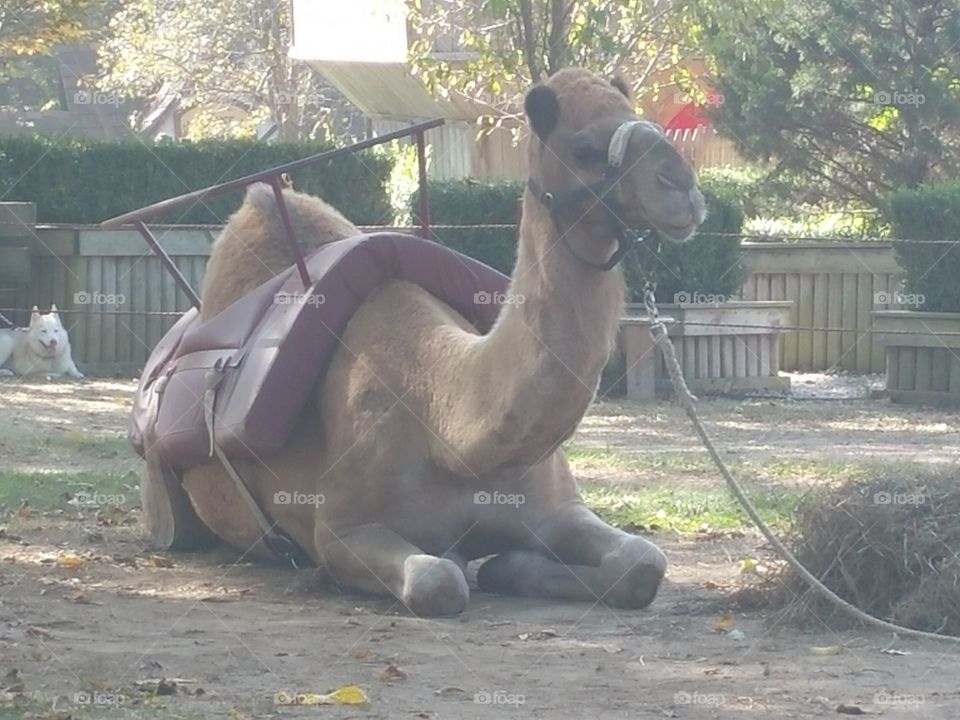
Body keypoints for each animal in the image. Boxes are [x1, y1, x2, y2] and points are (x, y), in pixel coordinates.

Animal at [177, 68, 707, 616]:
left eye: (646, 121)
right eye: (584, 149)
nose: (682, 185)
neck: (448, 430)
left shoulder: (558, 508)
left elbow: (643, 562)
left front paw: (509, 566)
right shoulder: (341, 531)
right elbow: (439, 580)